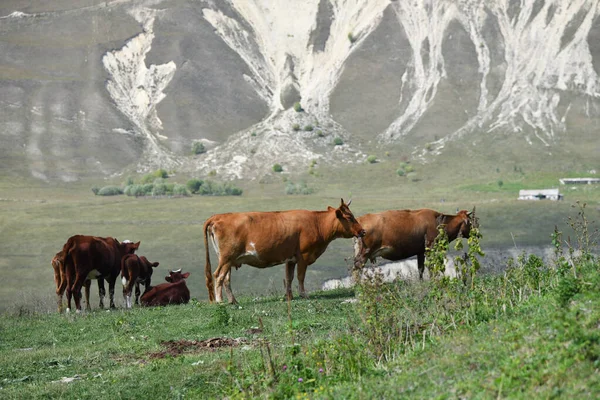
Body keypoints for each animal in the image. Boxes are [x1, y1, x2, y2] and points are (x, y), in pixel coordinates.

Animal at [203, 198, 366, 304]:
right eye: (349, 217)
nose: (363, 231)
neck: (316, 223)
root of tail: (220, 216)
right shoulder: (303, 256)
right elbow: (300, 277)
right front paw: (303, 294)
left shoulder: (290, 259)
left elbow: (289, 278)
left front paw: (290, 297)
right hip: (226, 258)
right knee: (218, 276)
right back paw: (220, 301)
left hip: (228, 260)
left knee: (226, 279)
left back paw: (233, 301)